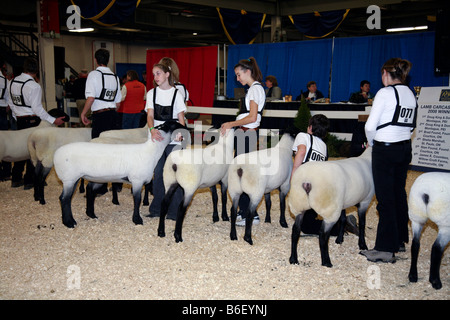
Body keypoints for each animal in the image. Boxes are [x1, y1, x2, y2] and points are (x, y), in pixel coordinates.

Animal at [53, 120, 185, 228]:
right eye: (174, 125)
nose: (185, 127)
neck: (151, 151)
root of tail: (56, 155)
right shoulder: (137, 180)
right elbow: (137, 199)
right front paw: (137, 220)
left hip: (88, 179)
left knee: (85, 193)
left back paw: (90, 215)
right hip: (69, 178)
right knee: (64, 198)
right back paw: (69, 222)